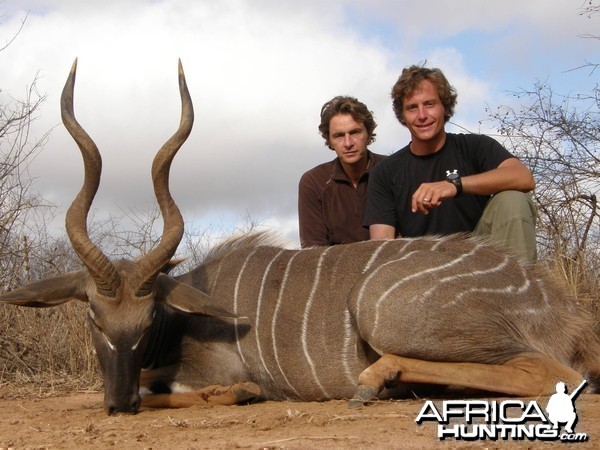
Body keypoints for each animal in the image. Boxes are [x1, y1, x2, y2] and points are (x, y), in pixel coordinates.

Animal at [1, 60, 600, 414]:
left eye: (148, 319)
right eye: (91, 315)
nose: (119, 403)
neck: (185, 313)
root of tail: (560, 309)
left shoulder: (208, 368)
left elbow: (193, 386)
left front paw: (239, 392)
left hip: (383, 312)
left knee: (553, 374)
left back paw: (375, 379)